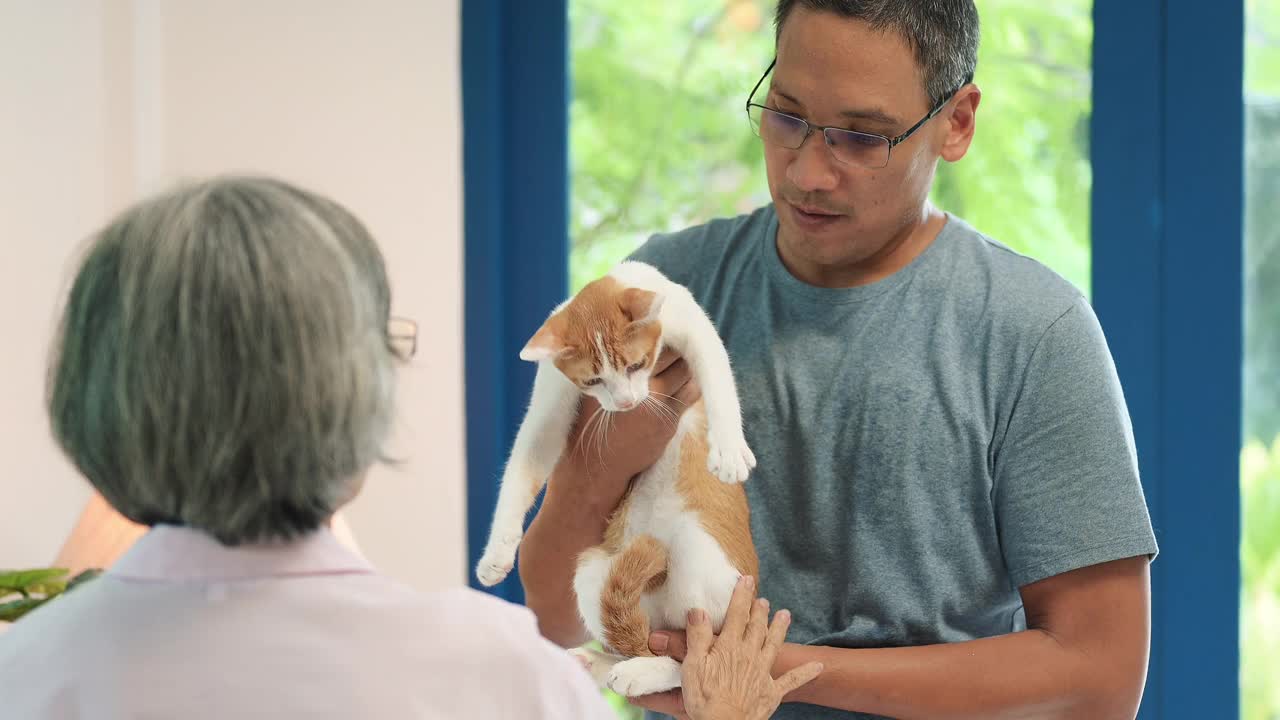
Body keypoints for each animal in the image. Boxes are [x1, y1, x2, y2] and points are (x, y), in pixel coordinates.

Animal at [478, 258, 757, 696]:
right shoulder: (551, 400)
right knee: (654, 646)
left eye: (636, 364)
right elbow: (522, 466)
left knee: (699, 657)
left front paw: (728, 449)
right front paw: (497, 552)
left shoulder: (693, 326)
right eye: (593, 381)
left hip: (699, 553)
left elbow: (719, 380)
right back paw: (607, 664)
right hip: (592, 570)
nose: (626, 403)